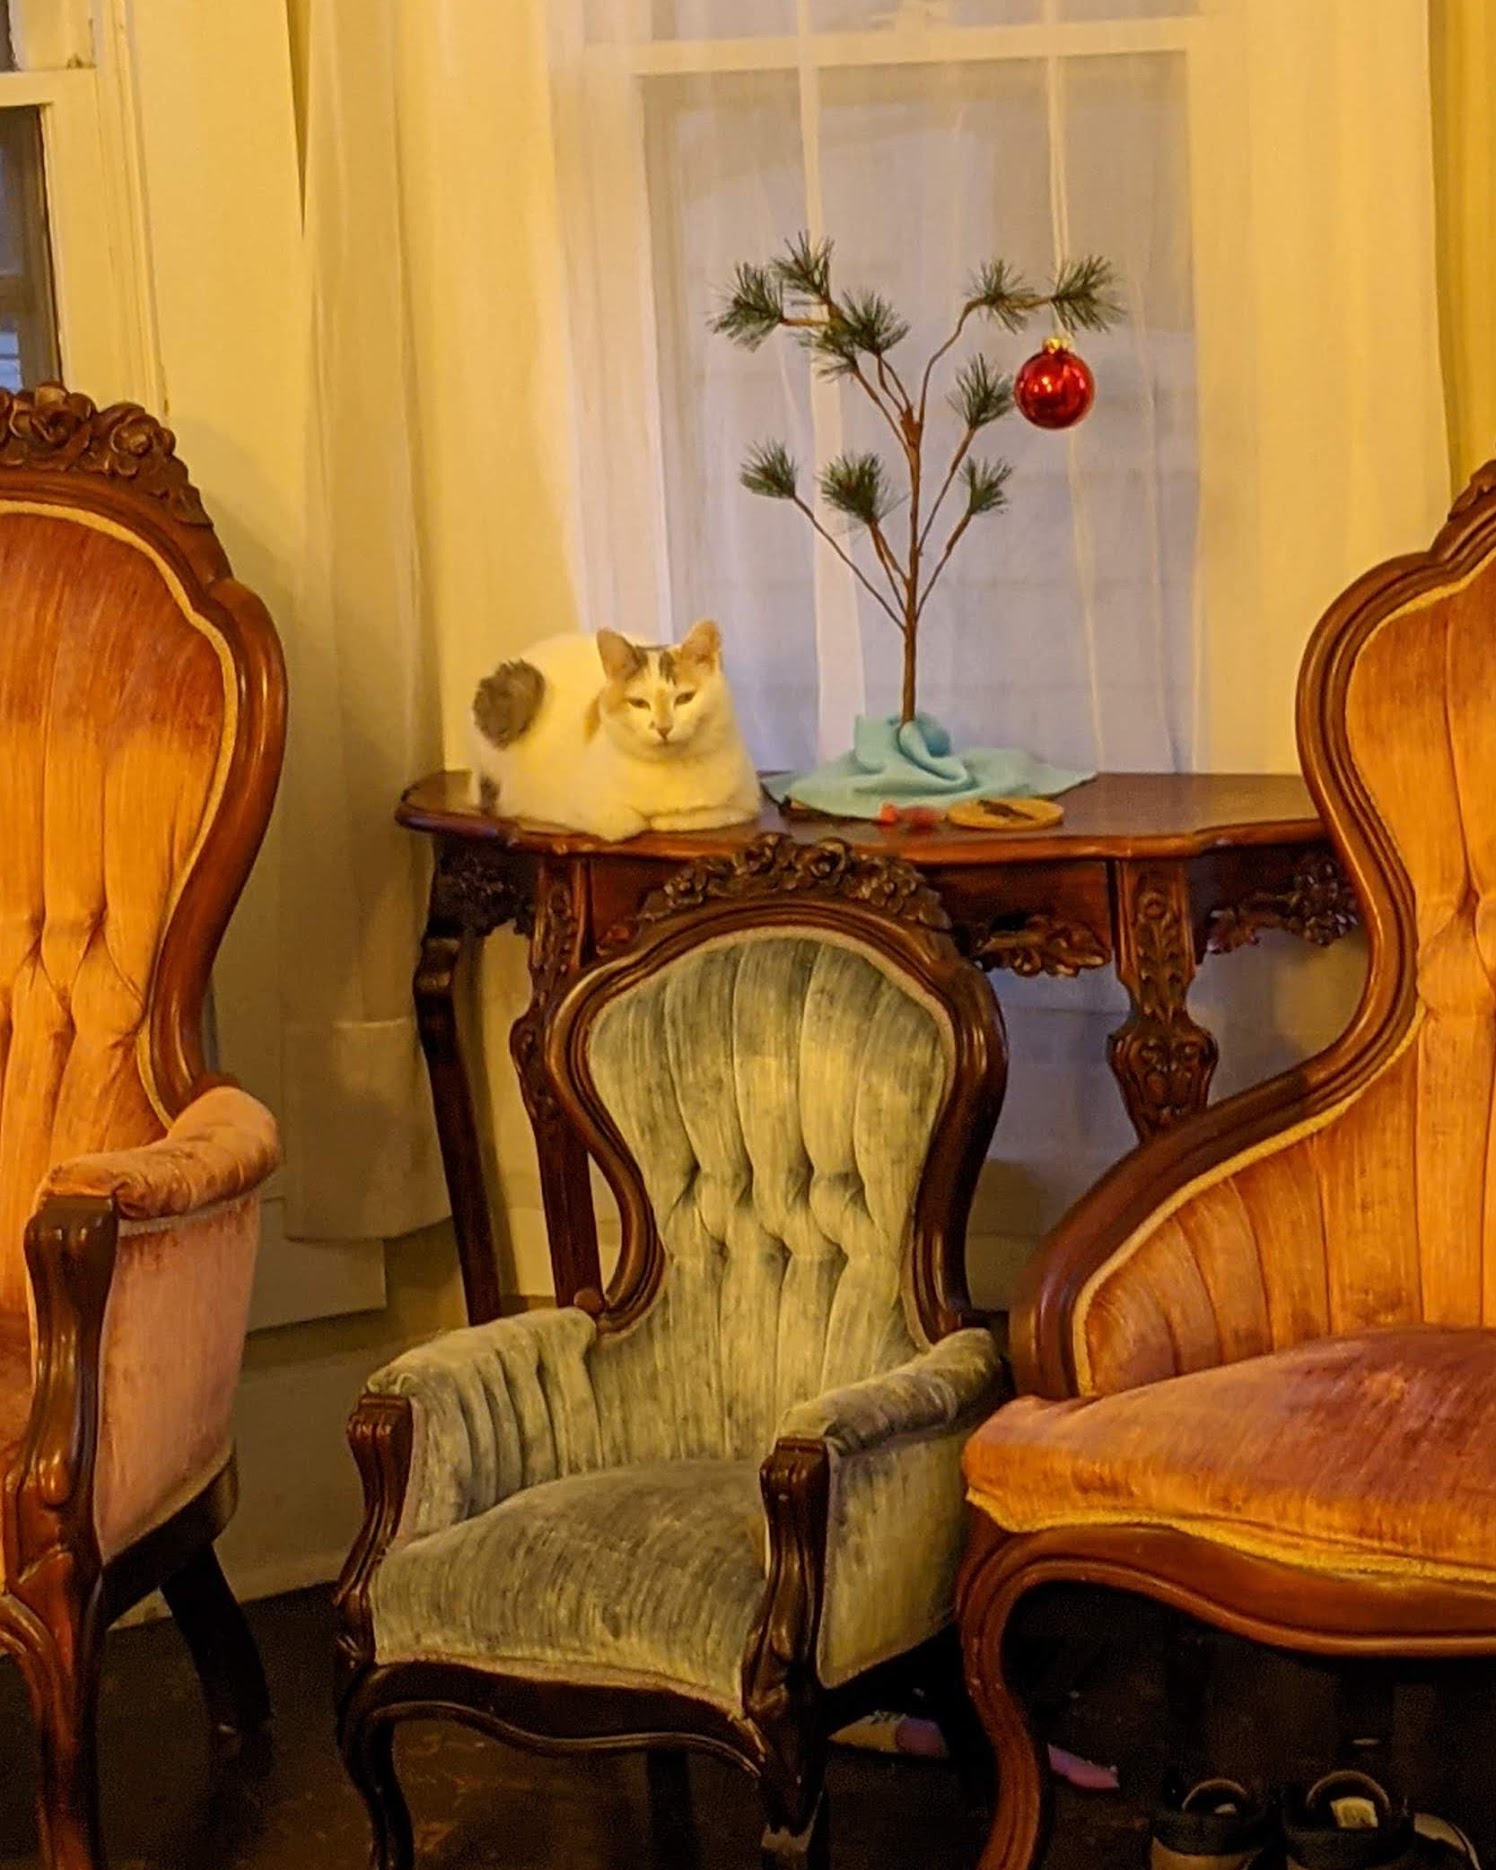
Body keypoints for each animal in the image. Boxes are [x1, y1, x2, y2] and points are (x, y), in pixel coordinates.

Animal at [471, 620, 759, 841]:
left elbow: (702, 815)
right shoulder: (572, 804)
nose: (663, 727)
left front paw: (668, 819)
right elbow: (627, 823)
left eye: (684, 698)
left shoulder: (747, 802)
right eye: (639, 703)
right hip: (523, 686)